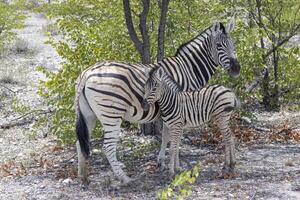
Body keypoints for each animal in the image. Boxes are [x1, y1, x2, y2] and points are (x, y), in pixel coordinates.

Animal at [75, 20, 241, 184]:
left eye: (233, 44)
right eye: (219, 45)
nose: (236, 69)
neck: (188, 69)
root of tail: (87, 72)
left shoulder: (174, 112)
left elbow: (167, 137)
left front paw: (162, 162)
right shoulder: (182, 108)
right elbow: (174, 139)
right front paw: (175, 166)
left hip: (89, 115)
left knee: (81, 142)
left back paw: (83, 176)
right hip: (111, 114)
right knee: (108, 146)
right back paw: (124, 177)